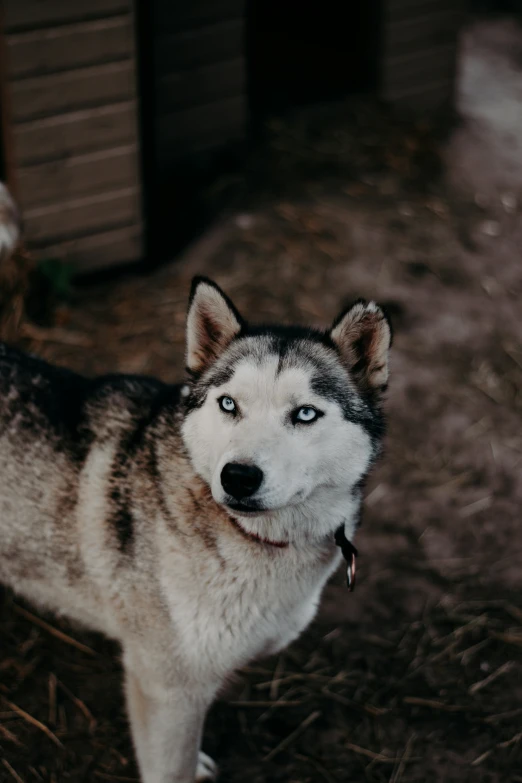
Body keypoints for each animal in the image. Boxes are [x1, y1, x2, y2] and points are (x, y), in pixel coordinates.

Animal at [0, 185, 390, 783]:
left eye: (305, 414)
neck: (258, 545)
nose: (239, 476)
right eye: (229, 404)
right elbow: (173, 767)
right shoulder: (167, 688)